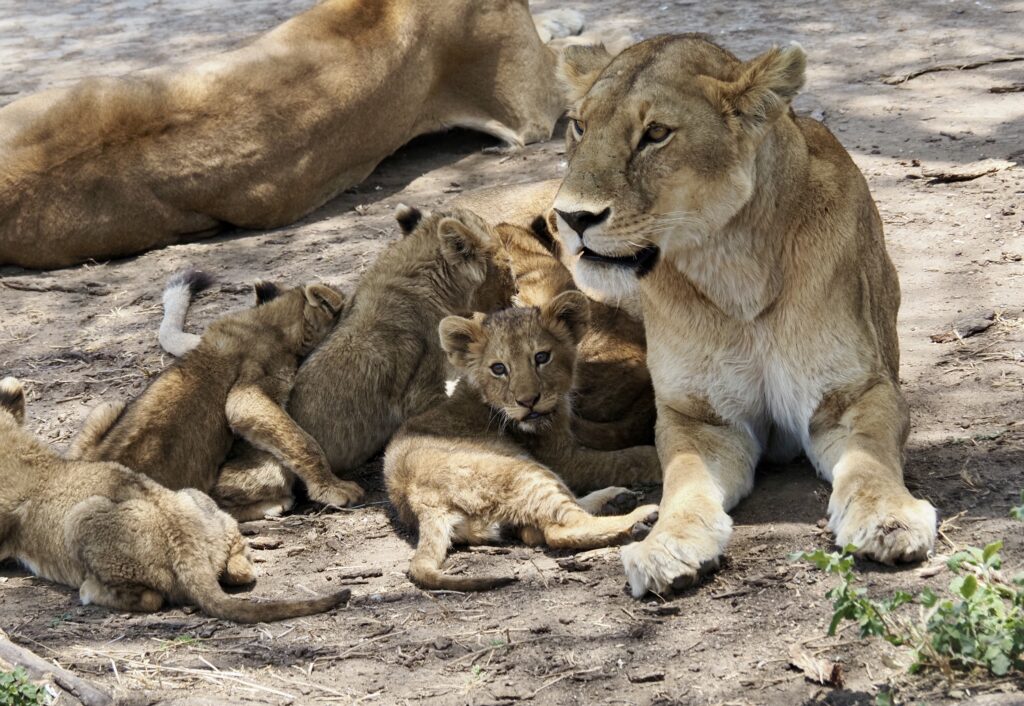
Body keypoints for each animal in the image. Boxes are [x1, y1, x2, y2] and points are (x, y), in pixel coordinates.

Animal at [552, 34, 937, 594]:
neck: (733, 271)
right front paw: (668, 543)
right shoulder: (700, 417)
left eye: (656, 134)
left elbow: (869, 457)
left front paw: (889, 519)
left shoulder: (853, 394)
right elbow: (685, 479)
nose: (572, 217)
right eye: (579, 125)